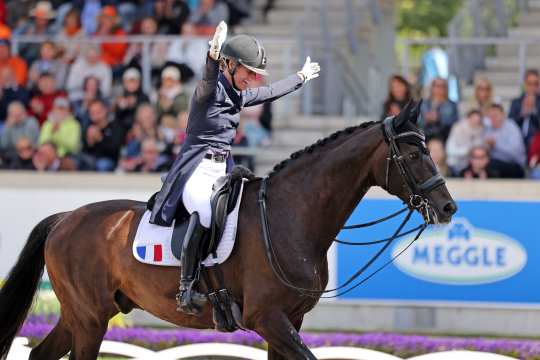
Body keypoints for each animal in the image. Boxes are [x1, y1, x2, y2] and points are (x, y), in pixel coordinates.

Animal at [0, 102, 456, 360]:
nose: (448, 207)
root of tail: (66, 218)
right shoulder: (267, 317)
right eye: (414, 153)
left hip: (82, 314)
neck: (291, 215)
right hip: (90, 317)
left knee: (41, 356)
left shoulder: (289, 319)